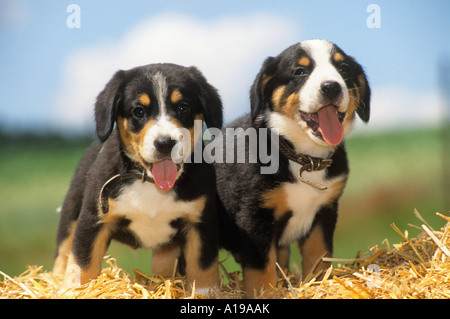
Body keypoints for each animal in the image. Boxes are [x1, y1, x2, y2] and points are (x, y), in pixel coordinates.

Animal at [53, 62, 222, 292]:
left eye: (183, 107)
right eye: (139, 111)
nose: (165, 143)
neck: (150, 183)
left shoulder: (201, 221)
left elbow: (203, 266)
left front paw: (206, 292)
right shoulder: (92, 219)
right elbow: (83, 263)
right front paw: (77, 291)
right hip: (72, 210)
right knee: (62, 254)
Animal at [216, 40, 370, 298]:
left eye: (344, 69)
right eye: (300, 71)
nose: (331, 87)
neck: (303, 157)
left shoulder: (324, 211)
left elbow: (319, 257)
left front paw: (317, 286)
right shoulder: (254, 216)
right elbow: (261, 271)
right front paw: (265, 294)